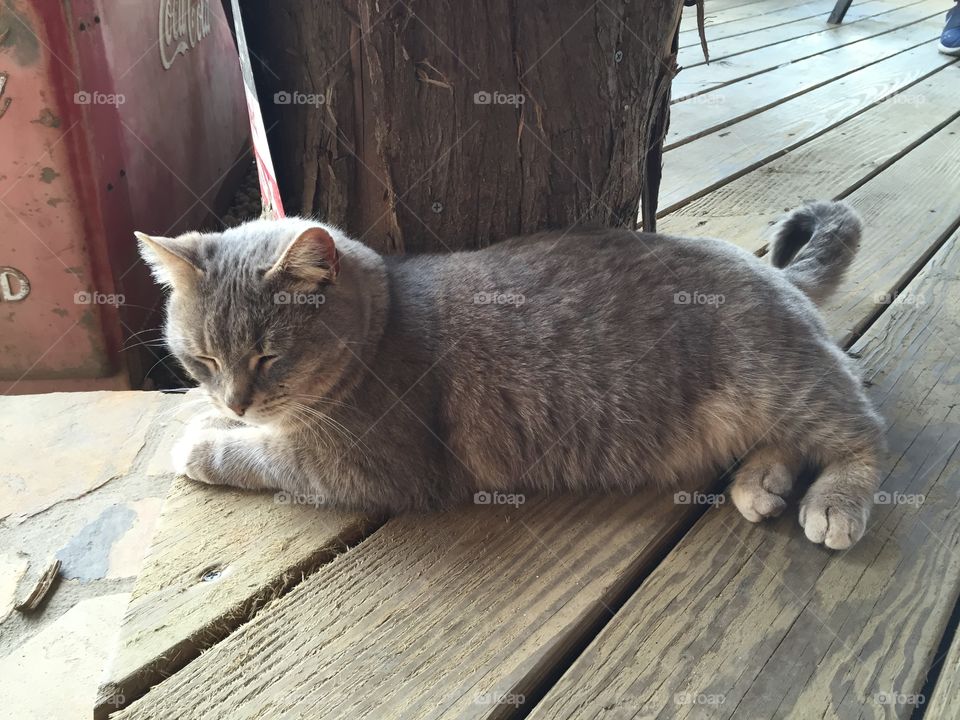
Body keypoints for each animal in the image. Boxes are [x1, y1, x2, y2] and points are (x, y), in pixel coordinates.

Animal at [137, 202, 884, 552]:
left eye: (269, 355)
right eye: (202, 358)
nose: (236, 400)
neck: (383, 316)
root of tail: (766, 269)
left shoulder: (356, 467)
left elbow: (259, 454)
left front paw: (205, 442)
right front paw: (209, 417)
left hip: (781, 381)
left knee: (861, 429)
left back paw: (833, 502)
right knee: (792, 439)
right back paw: (762, 484)